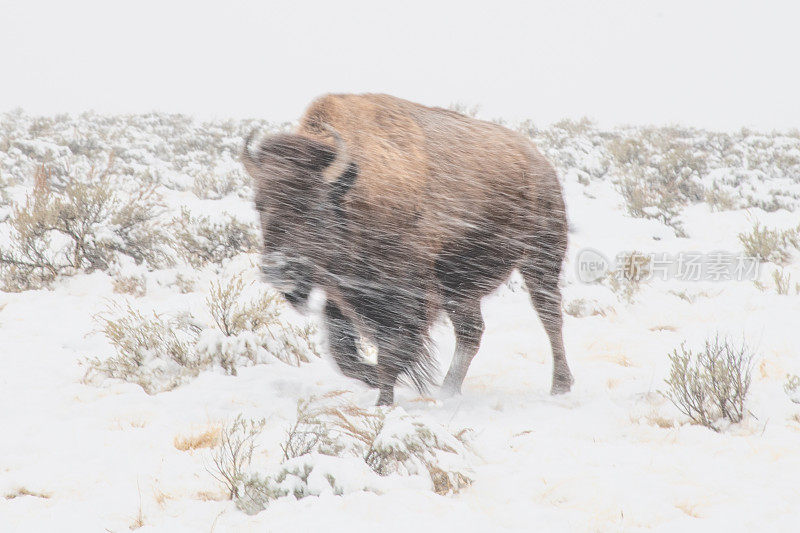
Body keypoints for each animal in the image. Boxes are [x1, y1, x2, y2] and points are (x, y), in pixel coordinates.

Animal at [241, 92, 572, 404]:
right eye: (259, 205)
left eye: (313, 207)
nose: (275, 269)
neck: (351, 190)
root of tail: (542, 163)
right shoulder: (342, 296)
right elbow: (344, 355)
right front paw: (374, 381)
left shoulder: (403, 297)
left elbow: (391, 353)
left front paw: (383, 403)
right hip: (460, 287)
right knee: (471, 332)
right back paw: (448, 391)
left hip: (541, 258)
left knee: (550, 315)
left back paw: (560, 386)